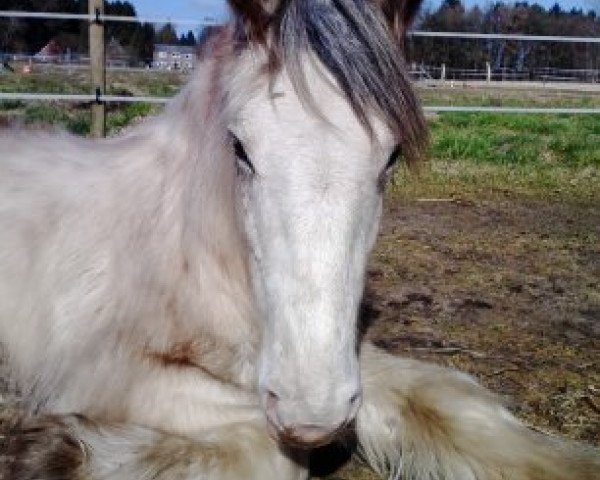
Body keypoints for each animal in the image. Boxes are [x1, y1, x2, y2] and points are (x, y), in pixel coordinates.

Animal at [0, 0, 596, 480]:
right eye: (239, 147)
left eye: (391, 156)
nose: (313, 412)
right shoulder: (101, 372)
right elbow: (274, 451)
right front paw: (49, 451)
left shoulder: (341, 362)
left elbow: (450, 405)